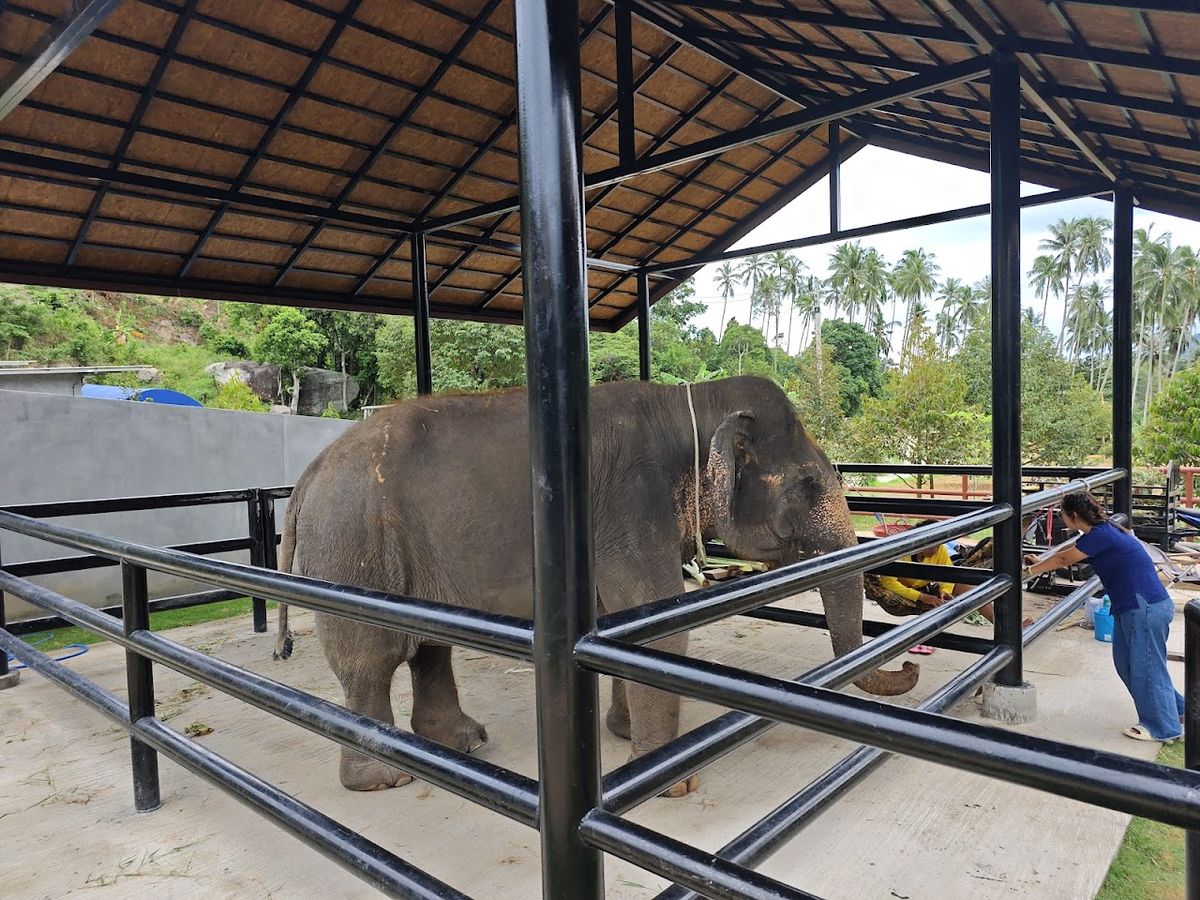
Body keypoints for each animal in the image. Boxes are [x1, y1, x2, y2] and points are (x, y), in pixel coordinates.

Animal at [274, 375, 919, 795]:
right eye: (809, 484)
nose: (910, 667)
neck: (689, 402)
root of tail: (306, 476)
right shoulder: (630, 504)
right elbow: (654, 626)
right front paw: (668, 782)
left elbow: (618, 623)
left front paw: (625, 735)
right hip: (353, 547)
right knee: (371, 659)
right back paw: (385, 777)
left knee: (429, 645)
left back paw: (462, 744)